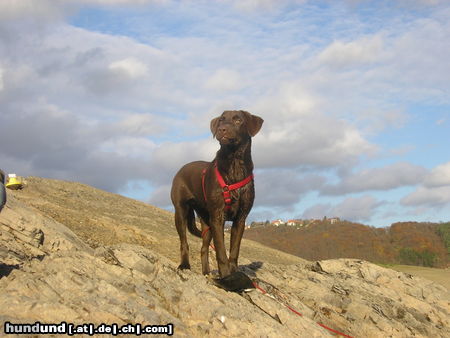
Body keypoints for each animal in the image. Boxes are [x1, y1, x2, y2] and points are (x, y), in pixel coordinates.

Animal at [171, 111, 264, 278]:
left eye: (238, 120)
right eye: (221, 120)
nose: (222, 129)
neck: (234, 164)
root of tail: (182, 169)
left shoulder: (240, 219)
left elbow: (234, 251)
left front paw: (233, 273)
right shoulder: (218, 217)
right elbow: (221, 251)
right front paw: (226, 275)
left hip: (206, 222)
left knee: (203, 248)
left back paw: (206, 272)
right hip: (181, 211)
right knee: (184, 242)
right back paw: (184, 265)